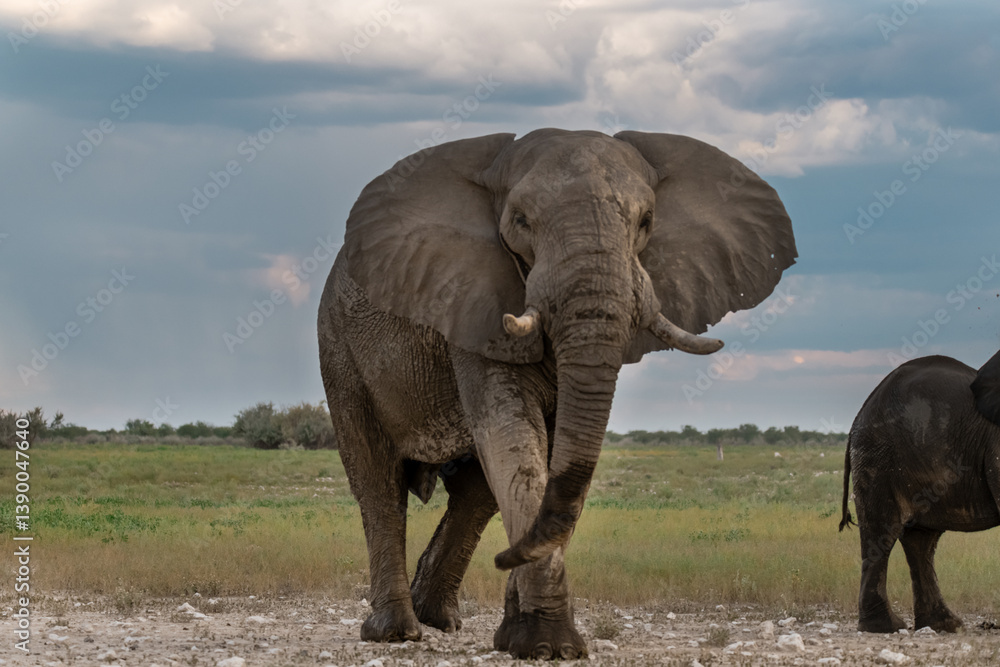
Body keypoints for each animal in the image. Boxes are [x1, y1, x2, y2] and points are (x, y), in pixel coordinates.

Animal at [317, 128, 797, 659]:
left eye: (646, 221)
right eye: (521, 221)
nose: (502, 558)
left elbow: (548, 459)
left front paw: (529, 641)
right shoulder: (475, 303)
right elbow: (515, 444)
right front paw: (548, 645)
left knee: (475, 494)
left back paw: (437, 616)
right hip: (339, 349)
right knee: (378, 481)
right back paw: (396, 631)